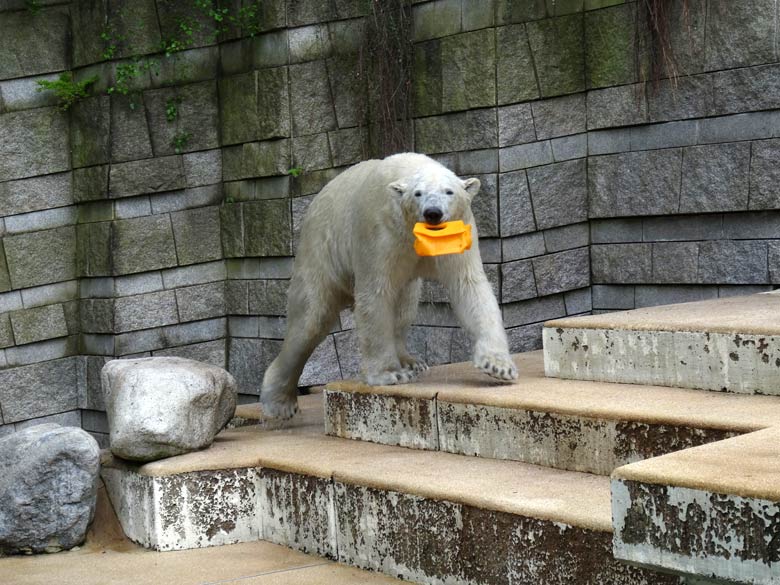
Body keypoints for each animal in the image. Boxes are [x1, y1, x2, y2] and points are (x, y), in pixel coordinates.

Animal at [260, 153, 516, 418]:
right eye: (418, 193)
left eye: (449, 191)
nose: (433, 213)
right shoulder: (380, 235)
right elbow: (375, 296)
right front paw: (389, 374)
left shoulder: (458, 234)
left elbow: (469, 286)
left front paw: (498, 366)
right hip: (320, 250)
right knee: (309, 321)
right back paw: (279, 403)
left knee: (405, 308)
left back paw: (411, 362)